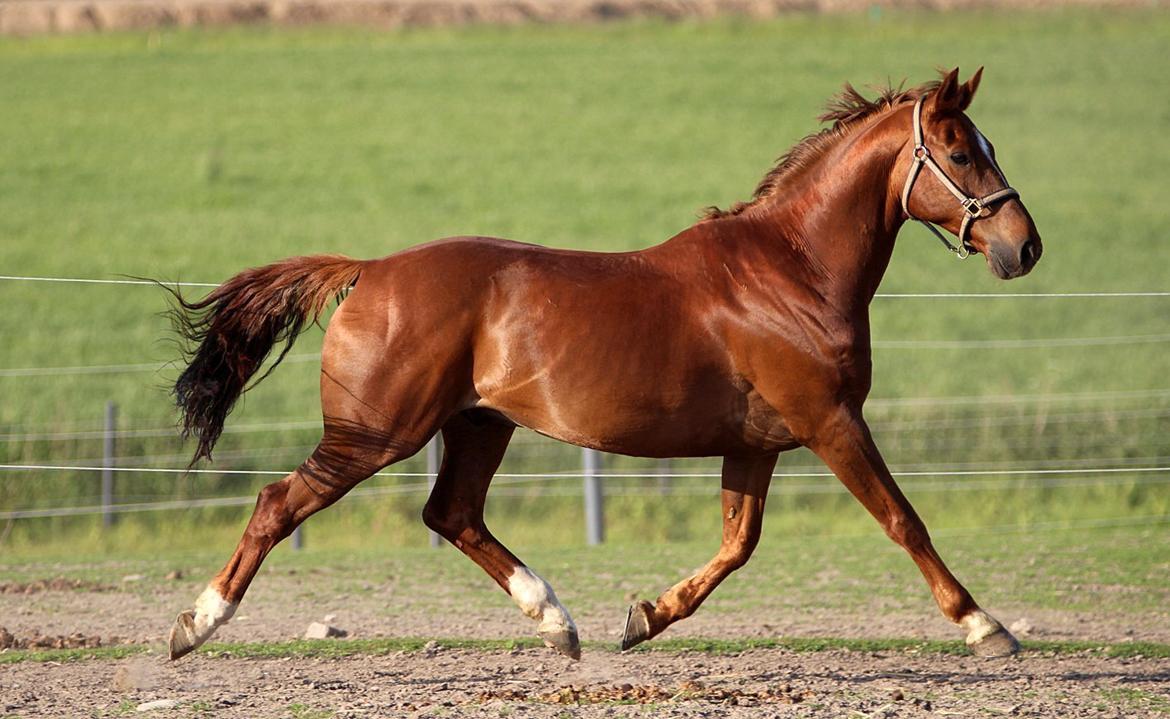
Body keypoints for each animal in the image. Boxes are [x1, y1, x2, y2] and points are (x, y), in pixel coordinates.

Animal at [164, 70, 1043, 659]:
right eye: (961, 152)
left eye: (987, 148)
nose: (1024, 246)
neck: (792, 270)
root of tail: (370, 270)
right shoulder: (830, 421)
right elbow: (902, 518)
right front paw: (986, 626)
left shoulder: (759, 441)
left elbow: (739, 542)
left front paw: (643, 616)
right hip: (375, 434)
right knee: (279, 502)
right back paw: (195, 624)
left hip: (477, 424)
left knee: (452, 514)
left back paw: (558, 621)